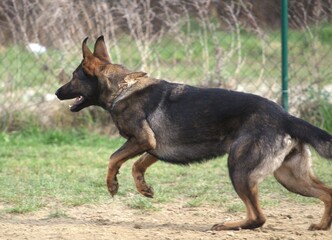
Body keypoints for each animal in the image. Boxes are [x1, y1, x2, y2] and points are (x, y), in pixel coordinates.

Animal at [55, 35, 332, 231]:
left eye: (73, 77)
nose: (57, 92)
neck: (122, 88)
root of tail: (285, 117)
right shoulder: (152, 146)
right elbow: (137, 165)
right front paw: (143, 188)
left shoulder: (142, 139)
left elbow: (113, 158)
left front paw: (112, 184)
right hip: (290, 177)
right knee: (327, 193)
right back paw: (322, 225)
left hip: (240, 170)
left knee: (258, 217)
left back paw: (227, 225)